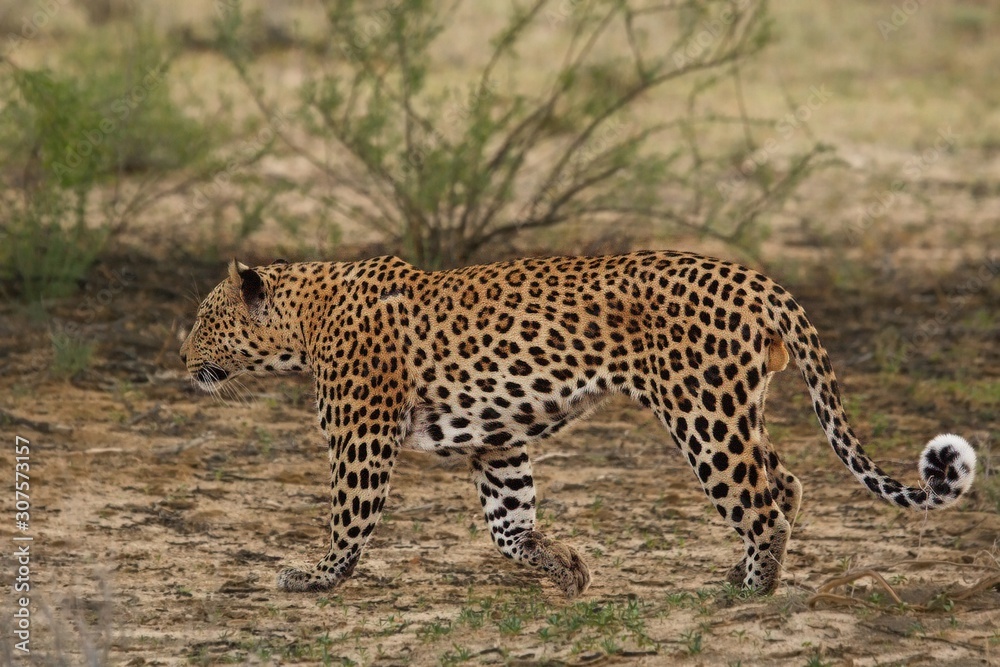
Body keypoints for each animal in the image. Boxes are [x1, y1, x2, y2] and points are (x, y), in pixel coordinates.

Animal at [179, 250, 977, 597]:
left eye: (205, 319)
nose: (180, 356)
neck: (304, 320)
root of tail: (758, 278)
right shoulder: (497, 441)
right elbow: (508, 526)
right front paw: (567, 567)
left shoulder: (362, 439)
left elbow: (348, 518)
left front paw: (316, 576)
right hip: (739, 407)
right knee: (788, 482)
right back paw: (745, 569)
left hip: (703, 414)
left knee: (761, 500)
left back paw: (750, 588)